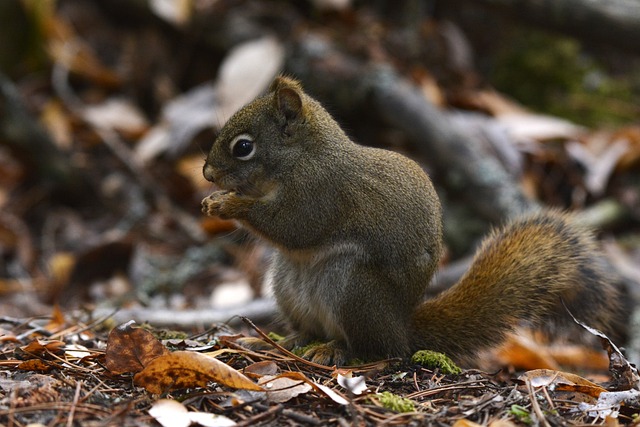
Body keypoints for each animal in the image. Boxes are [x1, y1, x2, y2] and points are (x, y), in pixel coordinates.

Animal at [201, 75, 624, 366]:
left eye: (243, 147)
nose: (206, 173)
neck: (303, 157)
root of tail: (401, 327)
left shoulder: (321, 193)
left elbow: (294, 227)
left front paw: (229, 206)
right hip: (288, 283)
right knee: (308, 329)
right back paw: (280, 341)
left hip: (352, 288)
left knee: (371, 347)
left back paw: (333, 348)